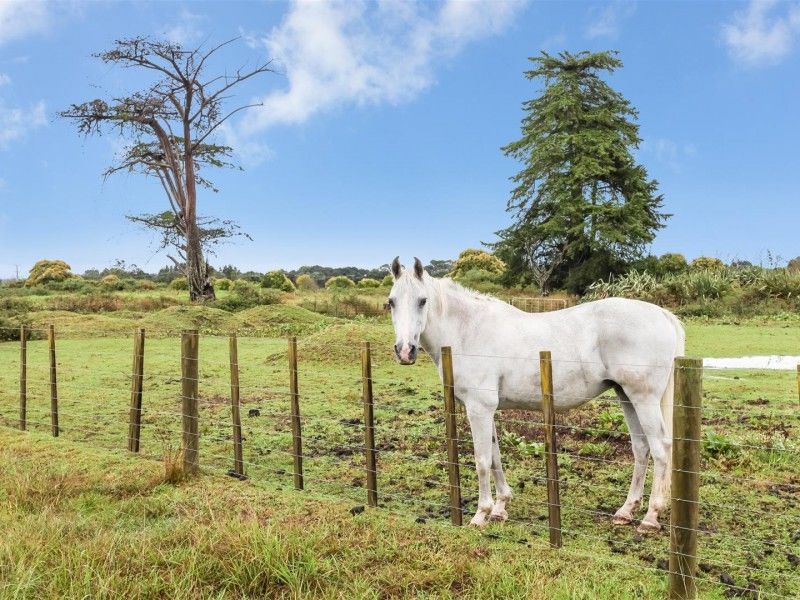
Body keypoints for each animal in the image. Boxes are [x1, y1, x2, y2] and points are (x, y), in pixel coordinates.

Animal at [386, 258, 680, 536]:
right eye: (391, 302)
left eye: (422, 301)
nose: (405, 351)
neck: (468, 331)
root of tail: (663, 315)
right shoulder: (487, 410)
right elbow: (495, 456)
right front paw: (500, 508)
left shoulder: (479, 409)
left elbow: (482, 460)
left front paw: (481, 514)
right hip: (626, 396)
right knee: (641, 448)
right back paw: (626, 511)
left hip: (644, 399)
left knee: (660, 448)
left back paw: (650, 517)